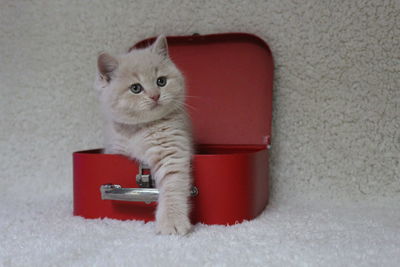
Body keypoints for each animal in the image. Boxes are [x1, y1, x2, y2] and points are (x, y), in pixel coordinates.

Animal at [95, 36, 192, 237]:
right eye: (135, 88)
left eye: (161, 81)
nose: (155, 96)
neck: (141, 129)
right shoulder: (115, 148)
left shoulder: (171, 152)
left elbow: (172, 186)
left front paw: (172, 222)